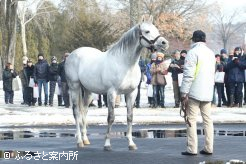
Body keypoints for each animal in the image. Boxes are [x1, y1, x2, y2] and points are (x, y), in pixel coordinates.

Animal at [65, 16, 169, 151]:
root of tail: (72, 55)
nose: (164, 43)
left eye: (156, 29)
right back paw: (79, 142)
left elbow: (130, 117)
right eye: (147, 31)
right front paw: (107, 145)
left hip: (88, 92)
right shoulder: (112, 93)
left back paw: (85, 139)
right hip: (74, 87)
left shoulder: (131, 93)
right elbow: (111, 117)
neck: (125, 63)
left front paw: (131, 143)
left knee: (84, 111)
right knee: (77, 112)